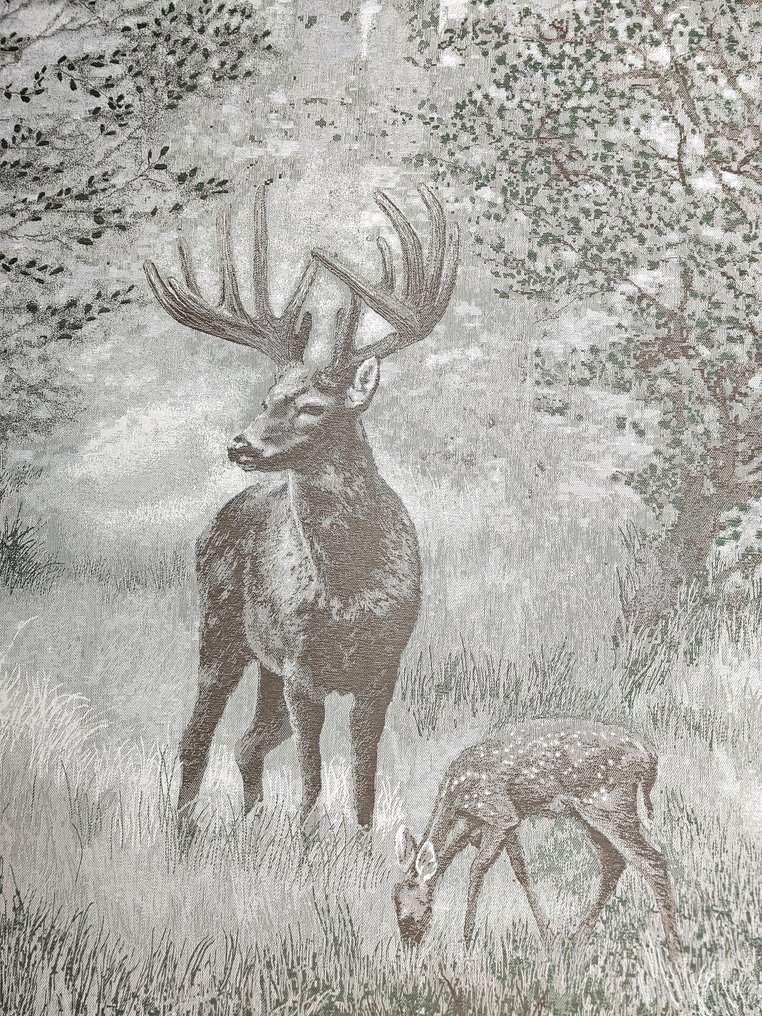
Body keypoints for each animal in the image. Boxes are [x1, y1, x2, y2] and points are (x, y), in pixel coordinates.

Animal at [143, 184, 459, 828]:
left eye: (312, 406)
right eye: (267, 398)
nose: (241, 444)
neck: (346, 590)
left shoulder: (381, 668)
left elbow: (362, 776)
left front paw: (359, 845)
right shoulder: (302, 669)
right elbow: (313, 777)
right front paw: (309, 842)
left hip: (264, 665)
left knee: (248, 742)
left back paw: (247, 826)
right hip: (222, 629)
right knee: (197, 739)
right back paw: (183, 834)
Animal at [393, 719, 684, 962]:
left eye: (410, 910)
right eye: (394, 904)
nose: (408, 950)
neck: (456, 801)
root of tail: (650, 755)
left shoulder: (499, 813)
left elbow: (477, 870)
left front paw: (467, 943)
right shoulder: (503, 823)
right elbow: (521, 870)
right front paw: (549, 937)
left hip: (609, 803)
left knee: (652, 861)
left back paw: (676, 955)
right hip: (592, 815)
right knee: (614, 863)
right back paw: (575, 943)